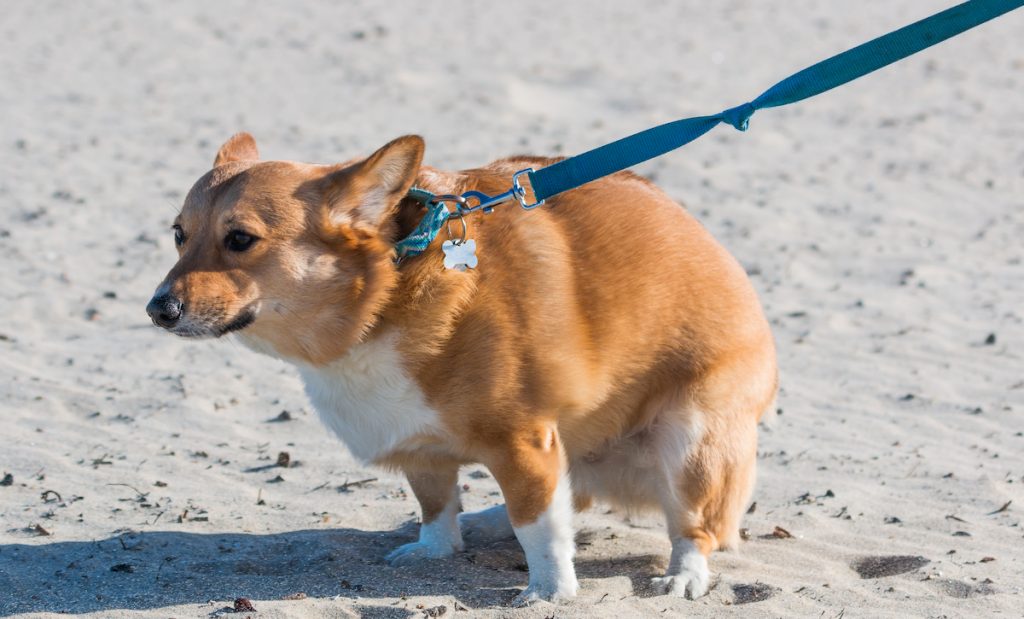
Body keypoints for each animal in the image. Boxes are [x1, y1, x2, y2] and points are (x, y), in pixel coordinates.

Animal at [148, 132, 774, 602]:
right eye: (178, 235)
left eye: (240, 239)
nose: (158, 310)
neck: (380, 302)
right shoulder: (421, 447)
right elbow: (437, 503)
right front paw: (435, 547)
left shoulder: (524, 441)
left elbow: (540, 527)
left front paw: (550, 591)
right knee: (570, 495)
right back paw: (490, 519)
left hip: (690, 441)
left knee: (693, 529)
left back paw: (683, 575)